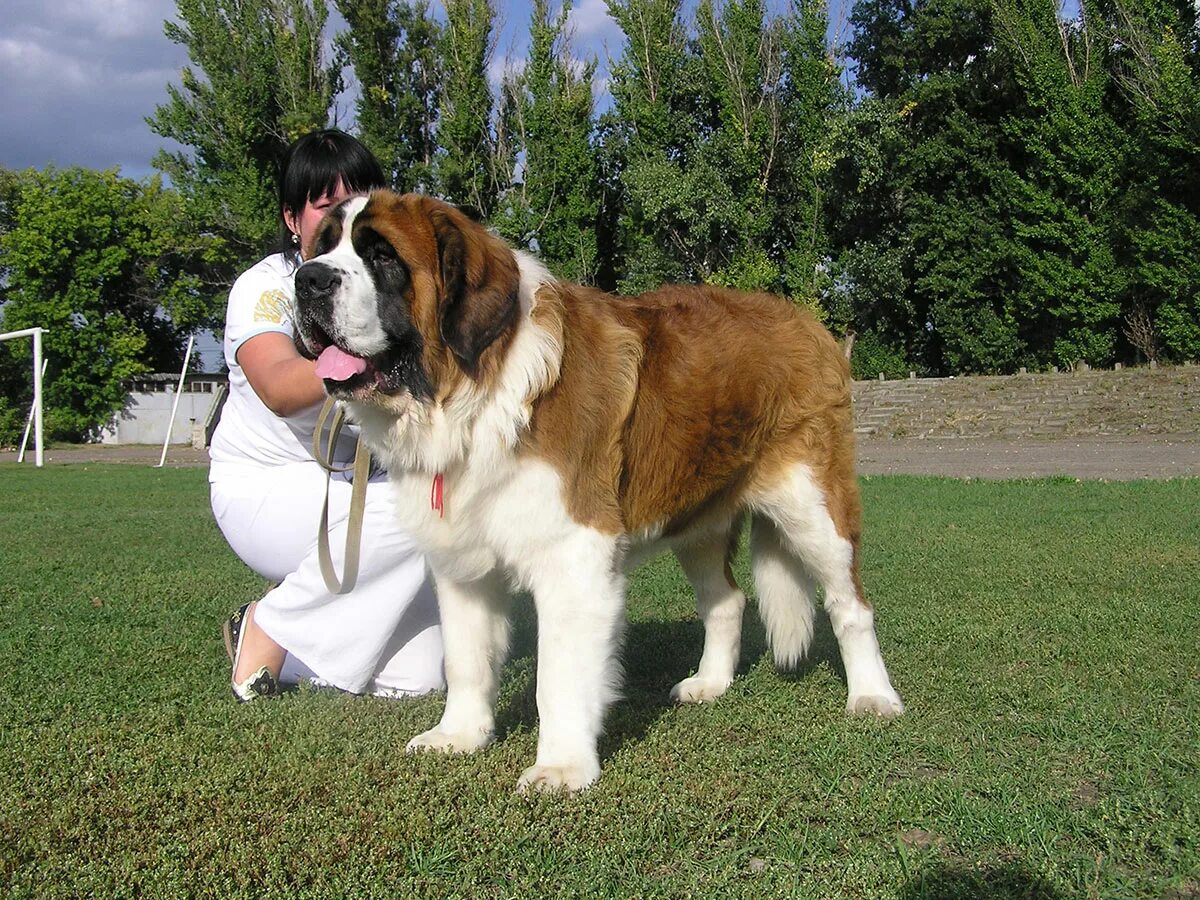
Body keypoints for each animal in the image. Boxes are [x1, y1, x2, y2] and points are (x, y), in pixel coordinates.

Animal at [295, 188, 902, 787]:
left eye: (382, 257)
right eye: (322, 247)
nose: (308, 280)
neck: (474, 393)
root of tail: (805, 319)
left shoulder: (573, 556)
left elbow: (558, 675)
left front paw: (562, 765)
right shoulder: (463, 562)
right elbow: (466, 657)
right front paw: (459, 735)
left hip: (813, 506)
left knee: (850, 603)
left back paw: (872, 696)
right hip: (697, 520)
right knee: (726, 601)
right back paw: (709, 684)